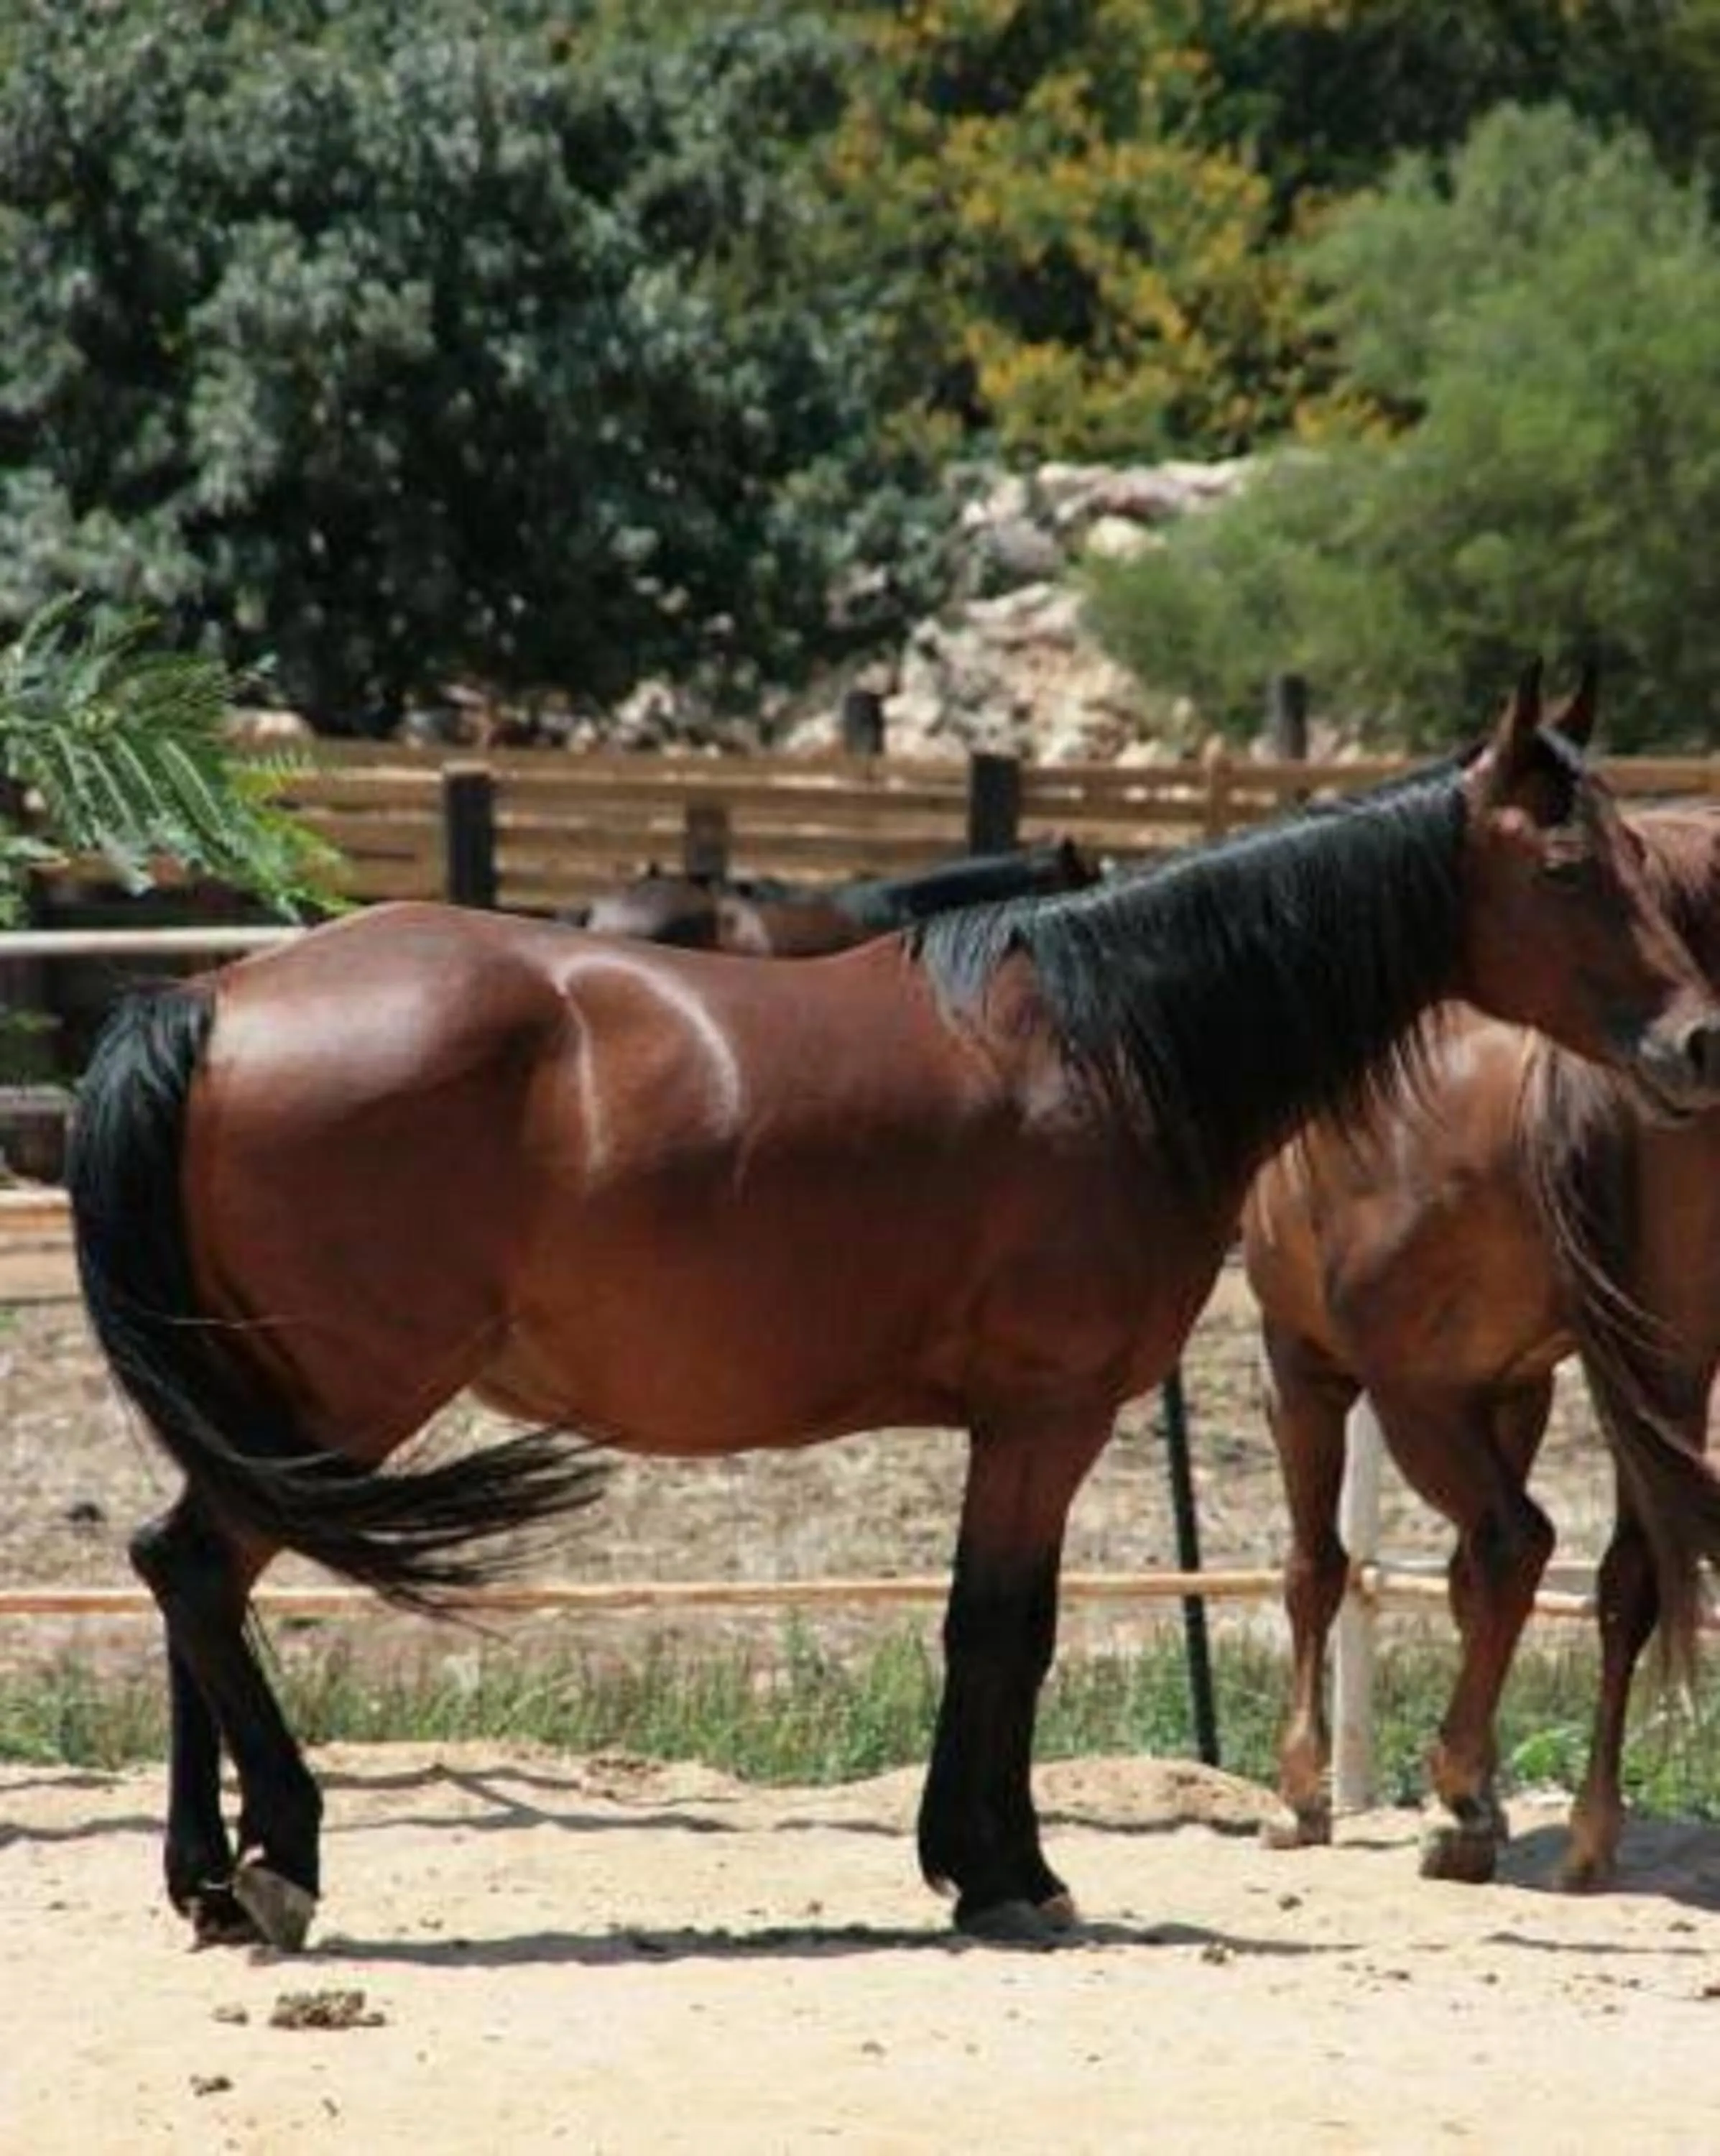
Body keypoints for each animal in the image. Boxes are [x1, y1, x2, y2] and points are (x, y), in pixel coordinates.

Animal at [1243, 797, 1720, 1890]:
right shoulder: (1515, 1387)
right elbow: (1464, 1587)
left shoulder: (1303, 1368)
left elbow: (1315, 1566)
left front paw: (1303, 1791)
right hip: (1661, 1377)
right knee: (1626, 1569)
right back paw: (1585, 1831)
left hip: (1409, 1395)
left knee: (1517, 1541)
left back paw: (1455, 1793)